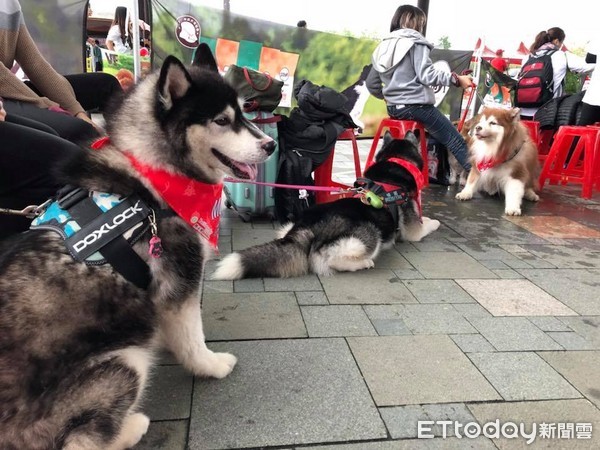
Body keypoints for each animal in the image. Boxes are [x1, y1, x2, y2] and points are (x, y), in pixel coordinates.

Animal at [0, 44, 276, 448]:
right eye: (223, 120)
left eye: (243, 112)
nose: (270, 144)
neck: (157, 177)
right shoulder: (179, 284)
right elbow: (192, 339)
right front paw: (209, 365)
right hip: (125, 360)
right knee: (81, 440)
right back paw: (134, 425)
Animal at [213, 134, 438, 280]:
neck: (396, 162)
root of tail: (305, 229)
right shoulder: (412, 231)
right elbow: (425, 225)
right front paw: (434, 221)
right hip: (370, 235)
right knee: (332, 260)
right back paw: (363, 263)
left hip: (288, 226)